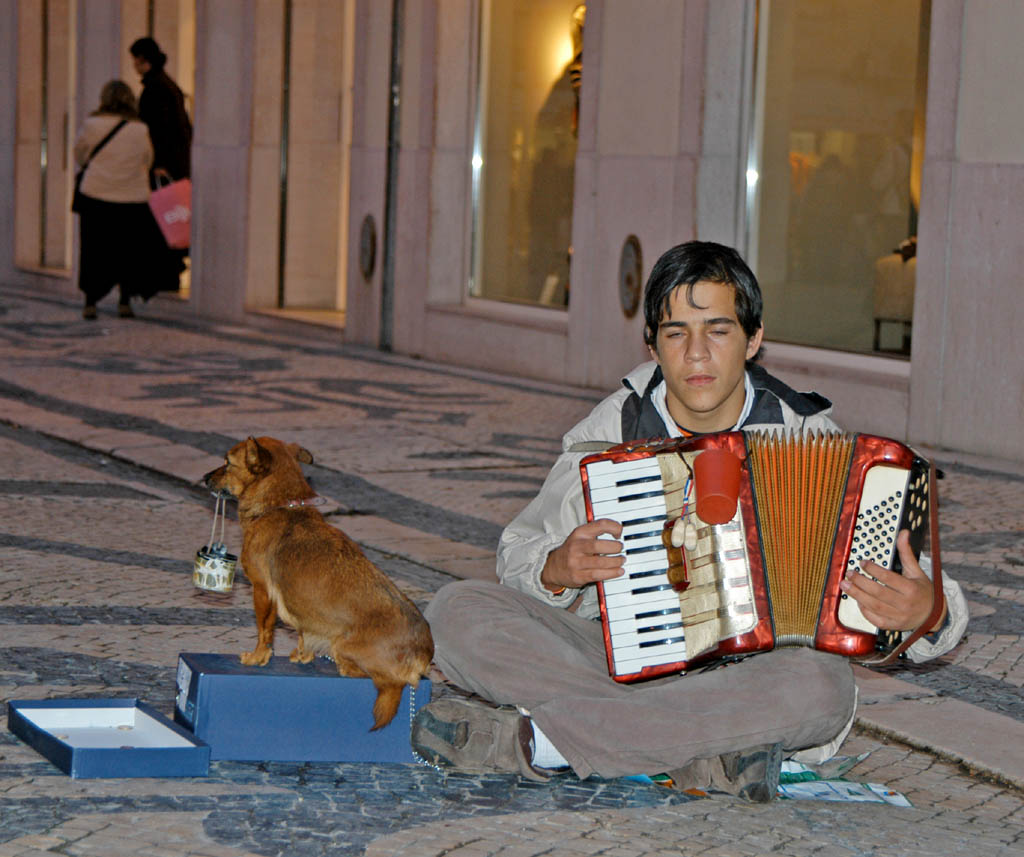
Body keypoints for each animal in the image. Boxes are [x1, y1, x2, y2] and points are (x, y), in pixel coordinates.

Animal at [203, 438, 432, 724]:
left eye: (227, 463)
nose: (204, 478)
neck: (280, 504)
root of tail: (421, 653)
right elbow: (303, 633)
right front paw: (302, 656)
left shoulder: (262, 590)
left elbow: (264, 631)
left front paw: (257, 658)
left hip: (343, 647)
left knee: (368, 676)